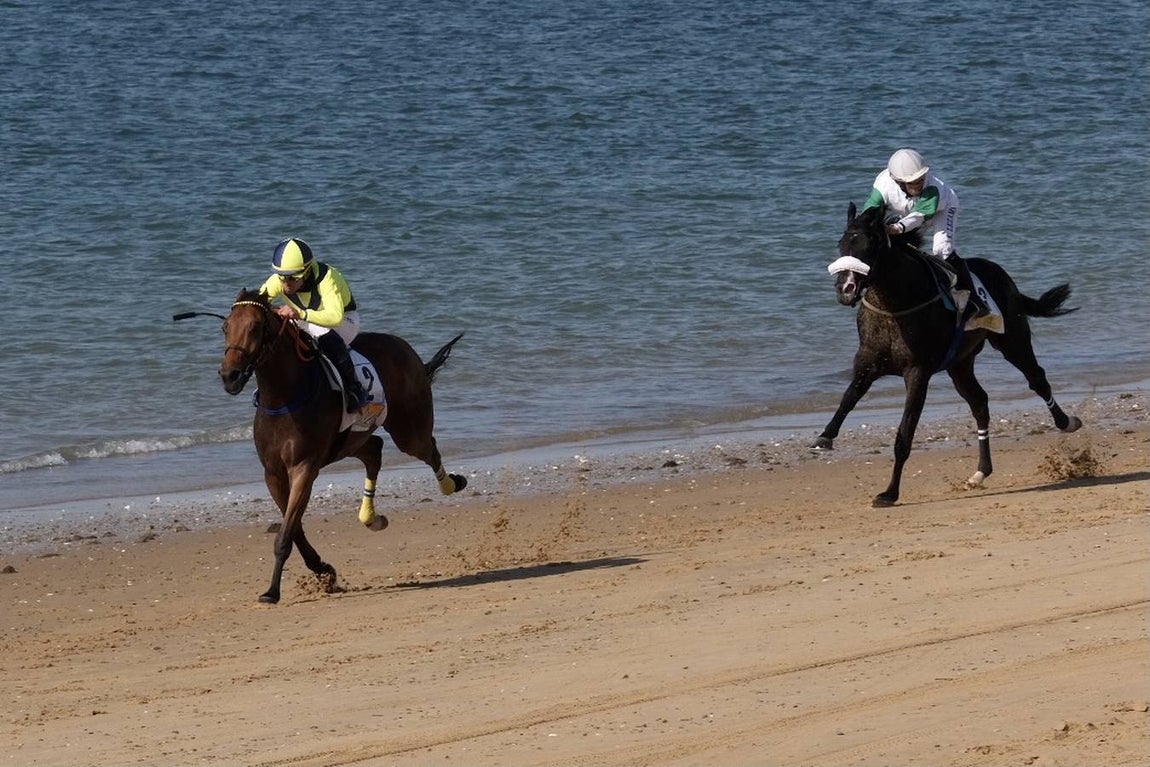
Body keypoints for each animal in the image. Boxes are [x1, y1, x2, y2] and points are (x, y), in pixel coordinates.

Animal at [217, 288, 467, 603]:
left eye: (254, 327)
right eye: (226, 327)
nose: (230, 376)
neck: (284, 397)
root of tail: (407, 349)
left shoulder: (304, 467)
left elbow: (286, 534)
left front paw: (272, 591)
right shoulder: (273, 473)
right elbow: (294, 528)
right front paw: (323, 570)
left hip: (409, 431)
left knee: (428, 448)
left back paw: (451, 484)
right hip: (351, 439)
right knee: (374, 450)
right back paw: (371, 518)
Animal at [814, 203, 1082, 507]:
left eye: (870, 246)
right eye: (841, 244)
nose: (845, 290)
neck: (895, 305)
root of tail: (1002, 273)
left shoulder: (917, 373)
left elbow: (904, 435)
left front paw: (889, 493)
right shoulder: (867, 363)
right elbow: (848, 398)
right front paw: (825, 437)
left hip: (1012, 340)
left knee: (1037, 379)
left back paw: (1067, 422)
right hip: (960, 364)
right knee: (979, 402)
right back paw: (980, 472)